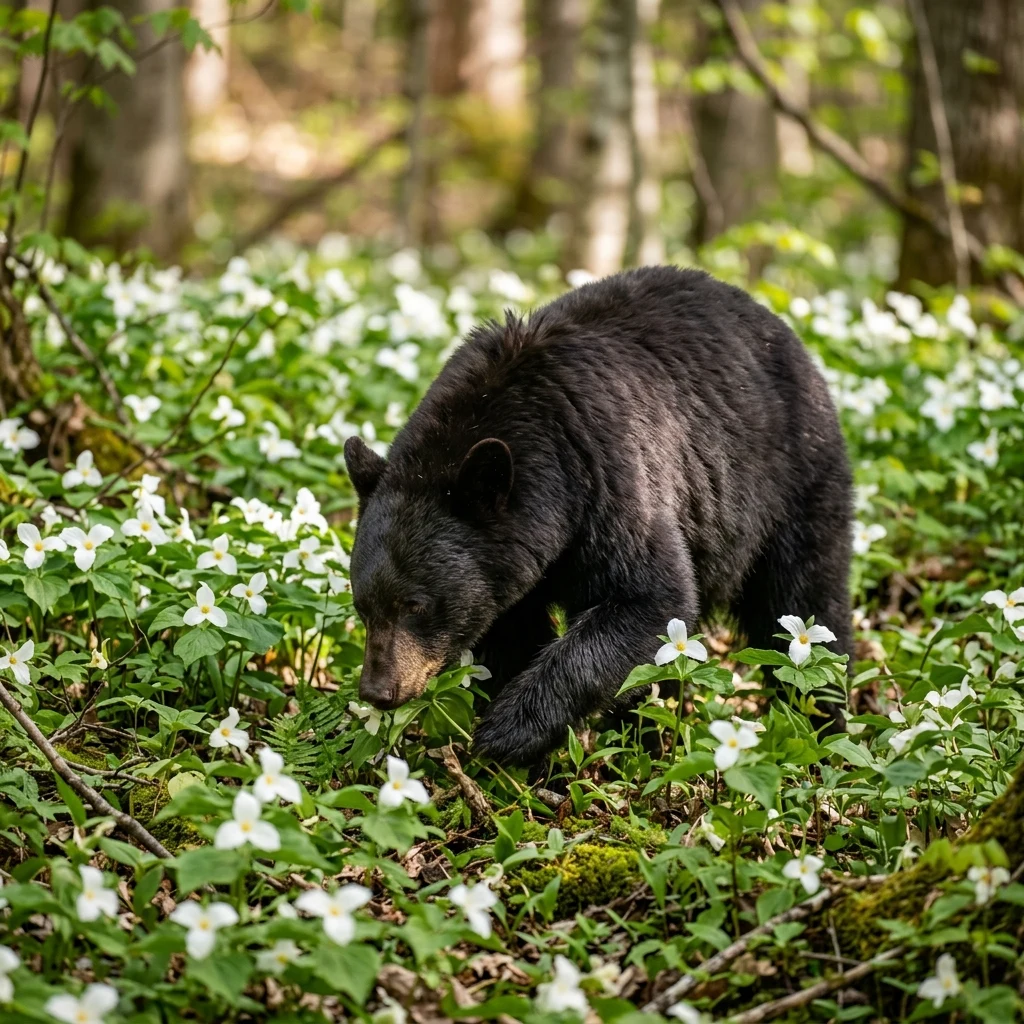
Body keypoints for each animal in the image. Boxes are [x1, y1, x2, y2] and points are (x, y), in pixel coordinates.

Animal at [344, 266, 853, 766]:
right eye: (363, 606)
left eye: (415, 604)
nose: (378, 691)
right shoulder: (507, 562)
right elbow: (510, 629)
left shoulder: (607, 474)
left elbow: (648, 597)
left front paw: (509, 730)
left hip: (794, 477)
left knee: (804, 599)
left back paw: (824, 729)